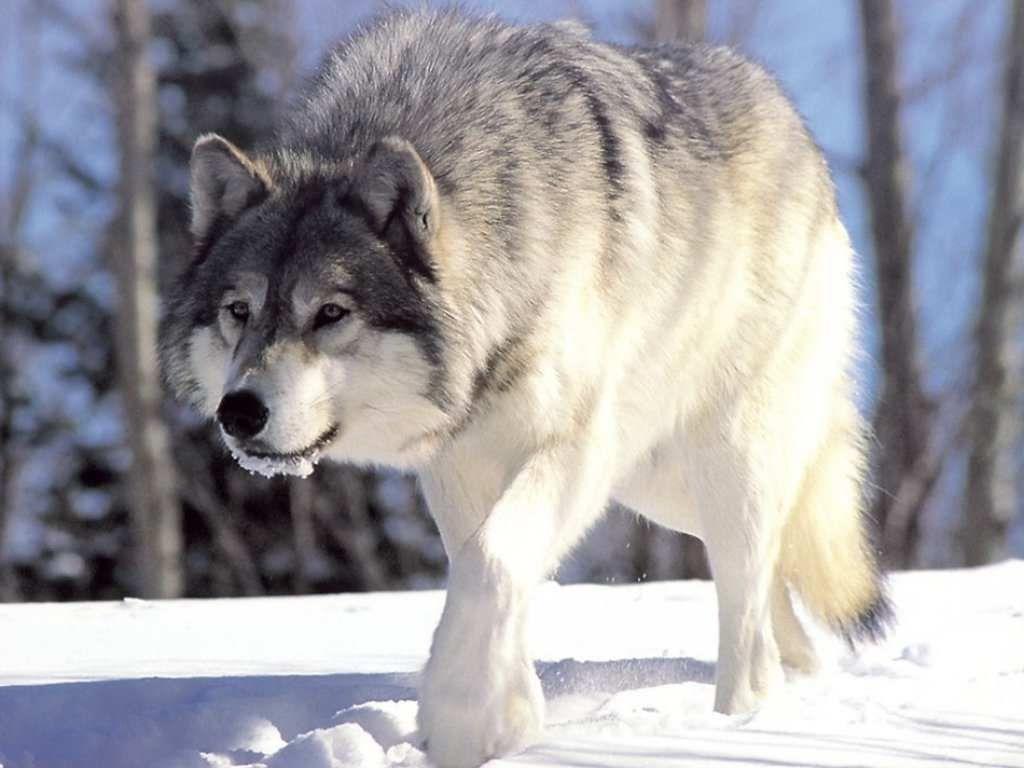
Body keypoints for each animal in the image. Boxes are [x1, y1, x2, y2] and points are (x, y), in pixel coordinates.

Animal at [160, 8, 891, 767]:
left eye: (330, 313)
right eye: (239, 311)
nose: (238, 412)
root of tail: (796, 126)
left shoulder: (573, 446)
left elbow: (491, 559)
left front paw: (466, 716)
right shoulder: (458, 462)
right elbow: (480, 567)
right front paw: (507, 711)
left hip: (720, 462)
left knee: (748, 599)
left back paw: (739, 717)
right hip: (658, 486)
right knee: (774, 570)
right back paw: (801, 677)